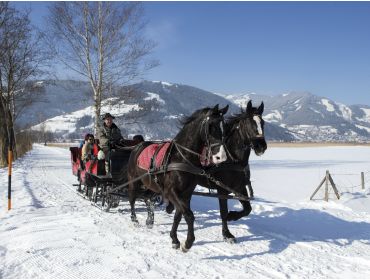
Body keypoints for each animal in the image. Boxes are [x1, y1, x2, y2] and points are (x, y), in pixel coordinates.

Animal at [127, 104, 228, 252]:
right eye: (210, 126)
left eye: (224, 126)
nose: (221, 157)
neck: (182, 157)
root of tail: (137, 147)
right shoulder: (171, 191)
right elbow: (188, 215)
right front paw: (188, 242)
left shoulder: (186, 193)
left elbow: (179, 215)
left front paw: (174, 239)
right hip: (134, 181)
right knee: (132, 199)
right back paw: (134, 219)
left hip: (150, 184)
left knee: (147, 199)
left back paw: (149, 220)